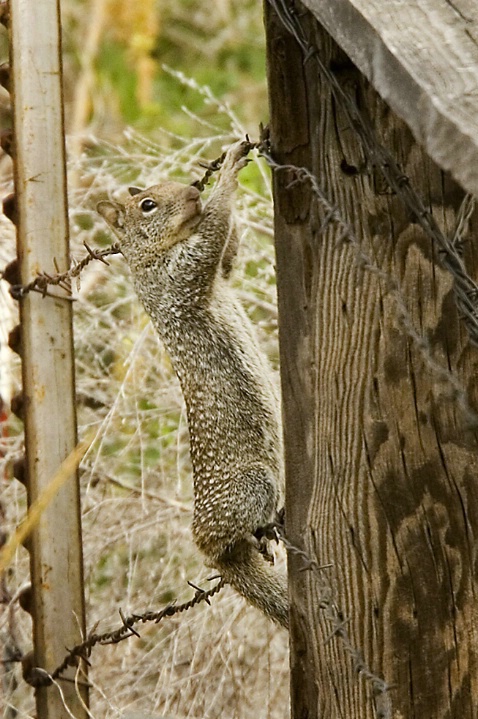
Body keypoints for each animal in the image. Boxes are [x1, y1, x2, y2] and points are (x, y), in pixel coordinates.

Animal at [97, 139, 288, 624]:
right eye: (147, 204)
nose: (192, 192)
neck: (149, 257)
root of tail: (204, 544)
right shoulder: (183, 271)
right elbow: (214, 232)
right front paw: (230, 169)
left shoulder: (218, 268)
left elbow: (229, 253)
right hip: (255, 484)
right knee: (231, 535)